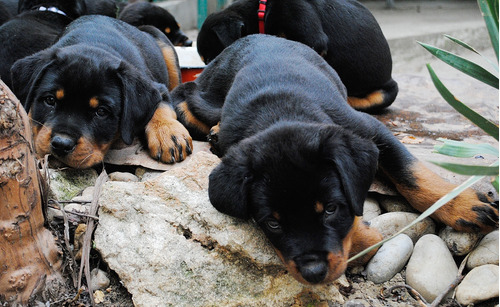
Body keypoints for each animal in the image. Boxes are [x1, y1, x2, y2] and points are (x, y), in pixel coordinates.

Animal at [171, 36, 496, 286]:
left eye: (330, 208)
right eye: (272, 224)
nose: (313, 272)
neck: (281, 114)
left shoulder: (372, 130)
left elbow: (411, 173)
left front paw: (462, 204)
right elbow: (362, 240)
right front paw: (363, 234)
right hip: (208, 98)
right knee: (184, 100)